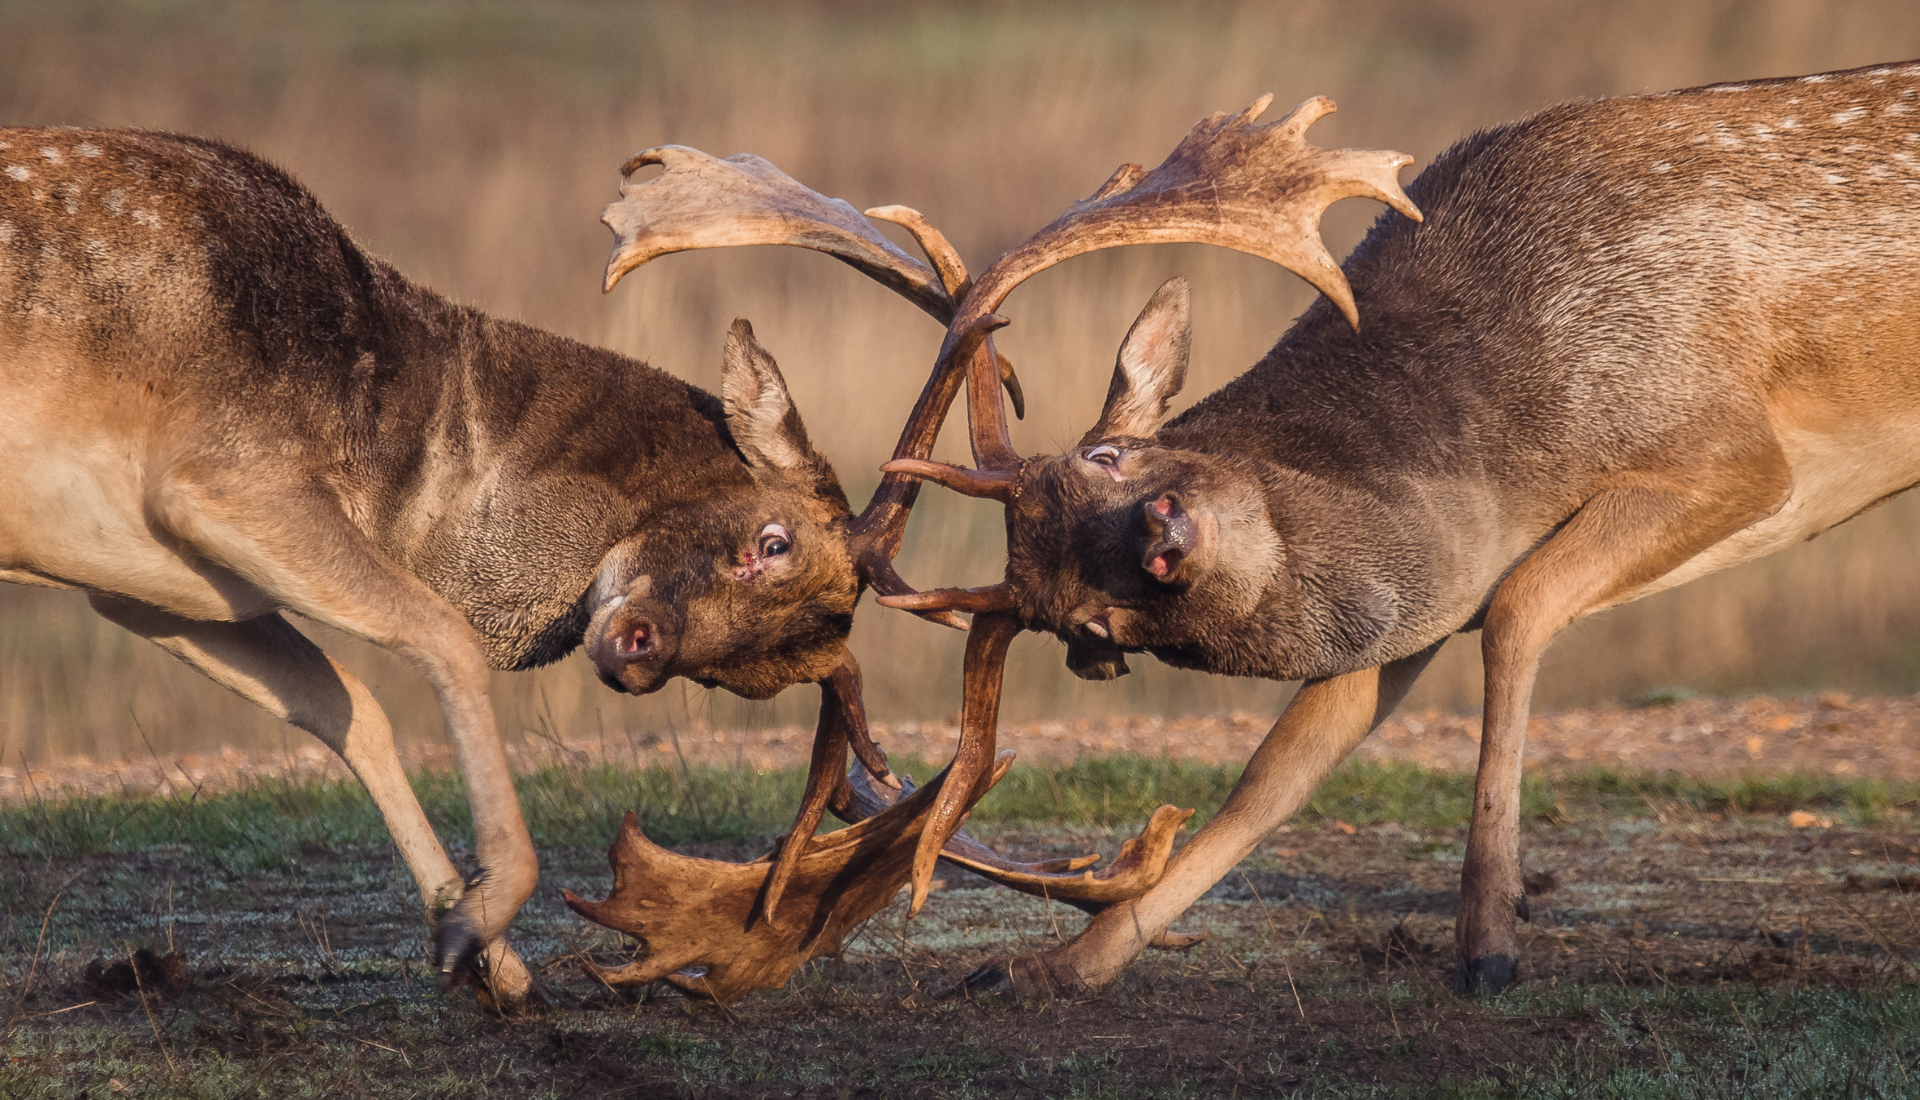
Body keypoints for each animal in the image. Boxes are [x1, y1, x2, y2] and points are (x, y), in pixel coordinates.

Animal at [0, 125, 1186, 1010]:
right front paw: (483, 919)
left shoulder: (148, 578)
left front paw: (481, 948)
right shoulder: (217, 472)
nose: (634, 650)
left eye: (763, 673)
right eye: (770, 540)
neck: (401, 453)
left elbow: (343, 708)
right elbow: (440, 637)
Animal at [872, 58, 1920, 1000]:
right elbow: (1276, 776)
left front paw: (1490, 940)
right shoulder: (1423, 607)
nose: (1163, 539)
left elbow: (1519, 607)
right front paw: (1050, 966)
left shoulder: (1735, 448)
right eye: (1090, 626)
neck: (1502, 442)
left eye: (1106, 458)